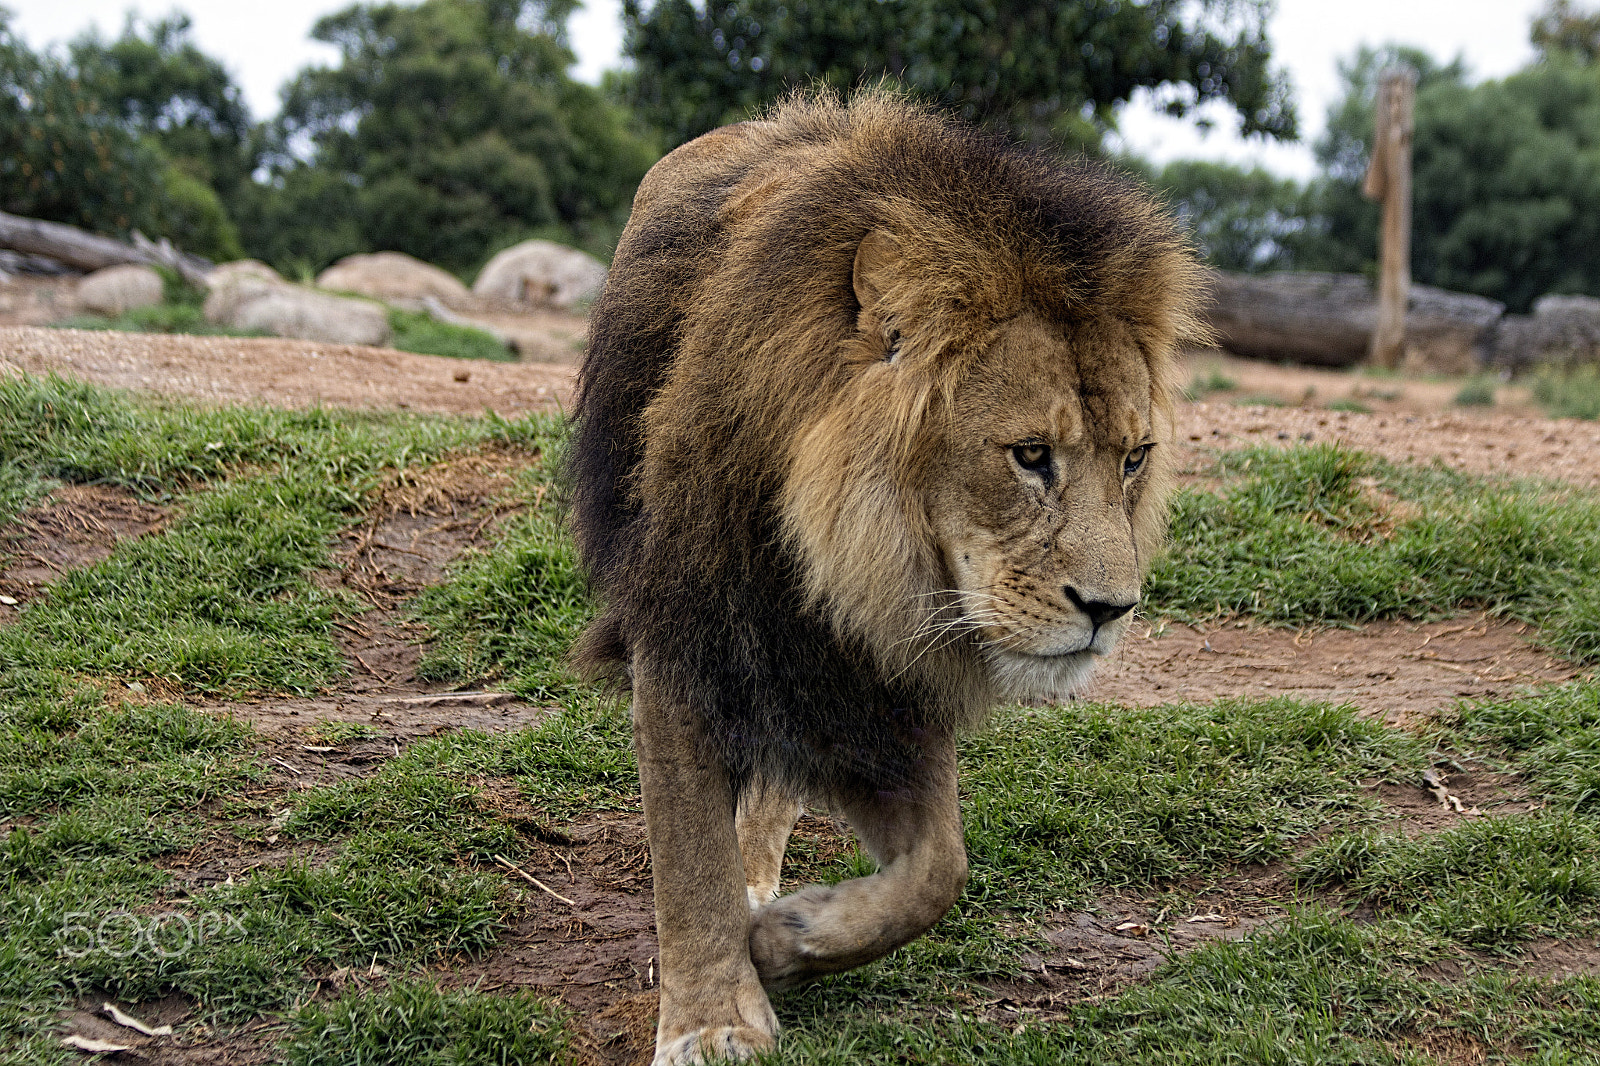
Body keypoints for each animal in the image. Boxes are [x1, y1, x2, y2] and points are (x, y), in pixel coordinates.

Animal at [566, 90, 1206, 1065]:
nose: (1111, 609)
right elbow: (687, 850)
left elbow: (938, 871)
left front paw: (787, 941)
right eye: (1030, 456)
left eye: (1134, 459)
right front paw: (715, 1017)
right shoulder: (687, 630)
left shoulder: (889, 681)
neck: (846, 564)